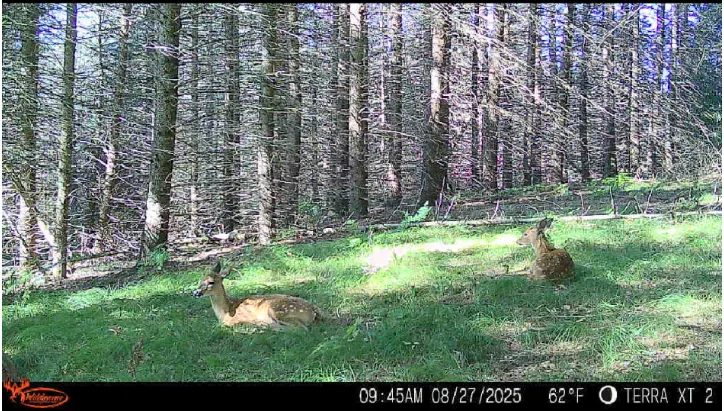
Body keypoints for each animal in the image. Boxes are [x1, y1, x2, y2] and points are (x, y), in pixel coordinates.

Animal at [192, 261, 324, 330]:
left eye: (211, 282)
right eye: (200, 280)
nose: (196, 292)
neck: (225, 312)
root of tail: (314, 311)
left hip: (277, 310)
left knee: (300, 328)